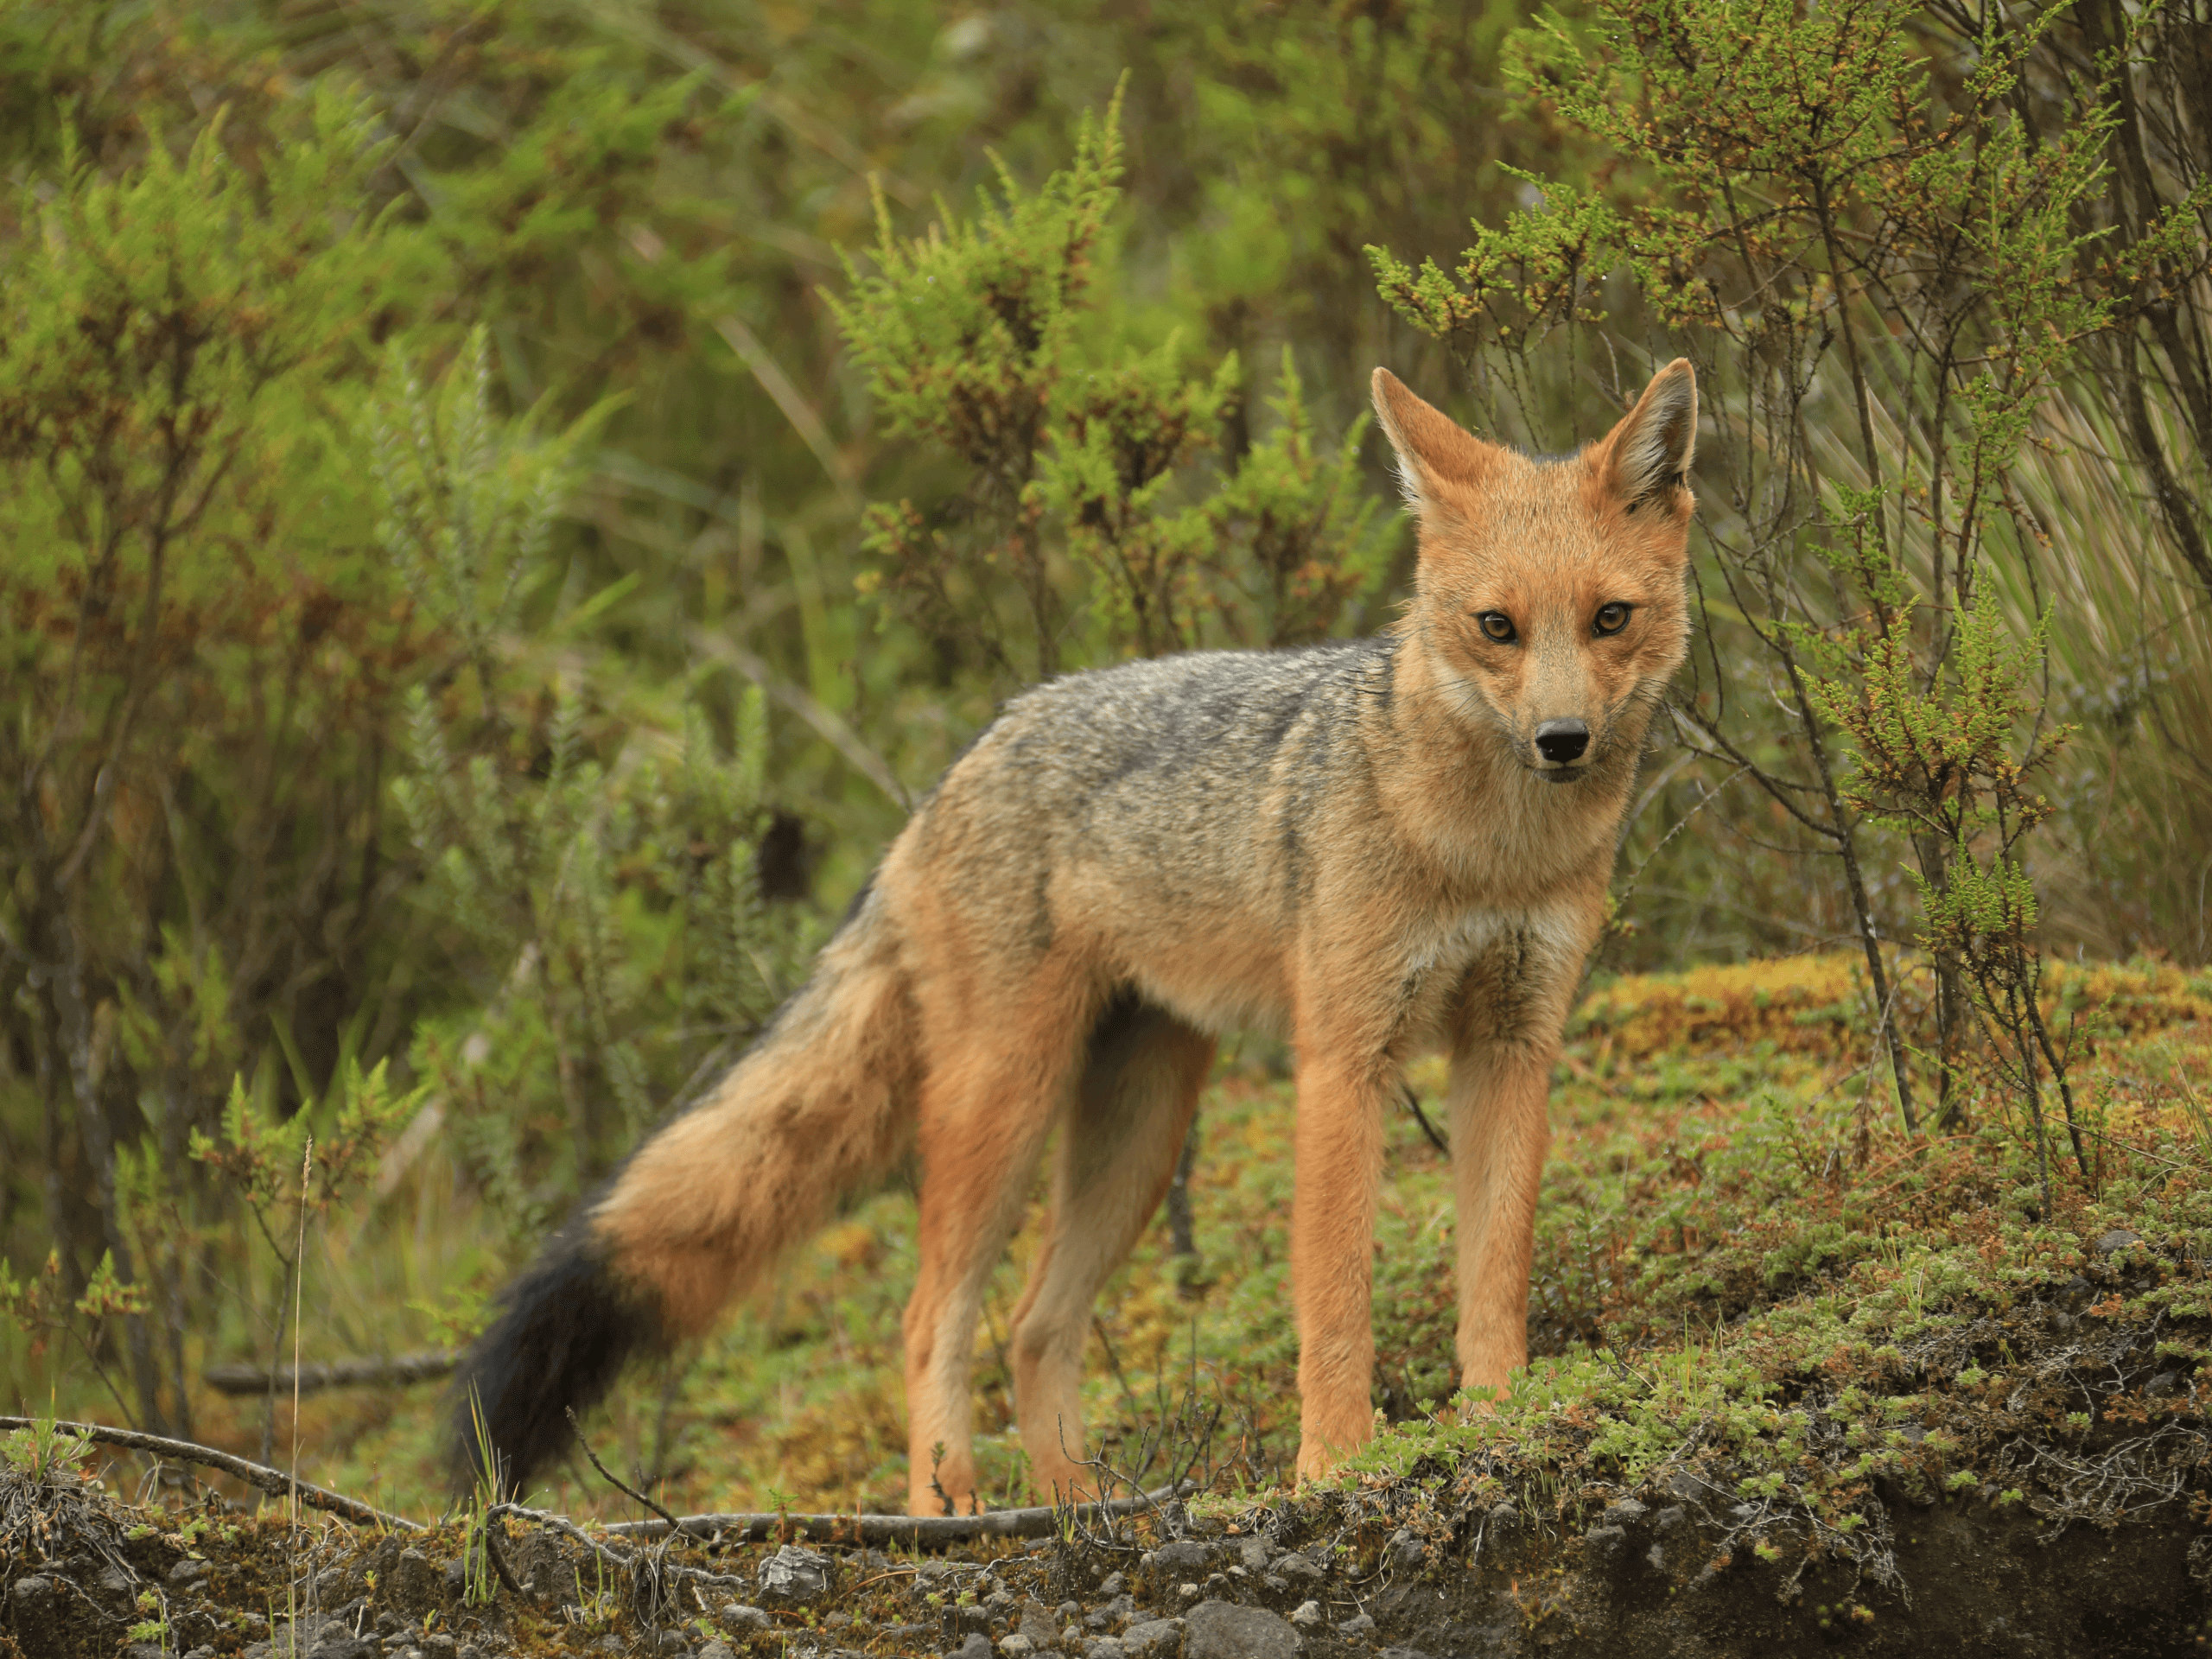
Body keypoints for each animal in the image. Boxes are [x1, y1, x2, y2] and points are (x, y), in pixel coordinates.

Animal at [444, 360, 1689, 1522]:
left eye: (1609, 618)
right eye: (1496, 628)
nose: (1563, 739)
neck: (1486, 850)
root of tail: (958, 764)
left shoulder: (1513, 1046)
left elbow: (1496, 1274)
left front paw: (1498, 1426)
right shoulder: (1344, 1062)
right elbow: (1337, 1299)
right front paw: (1337, 1468)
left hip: (1137, 1132)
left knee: (1033, 1327)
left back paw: (1074, 1502)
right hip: (1006, 1107)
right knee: (928, 1320)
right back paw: (946, 1507)